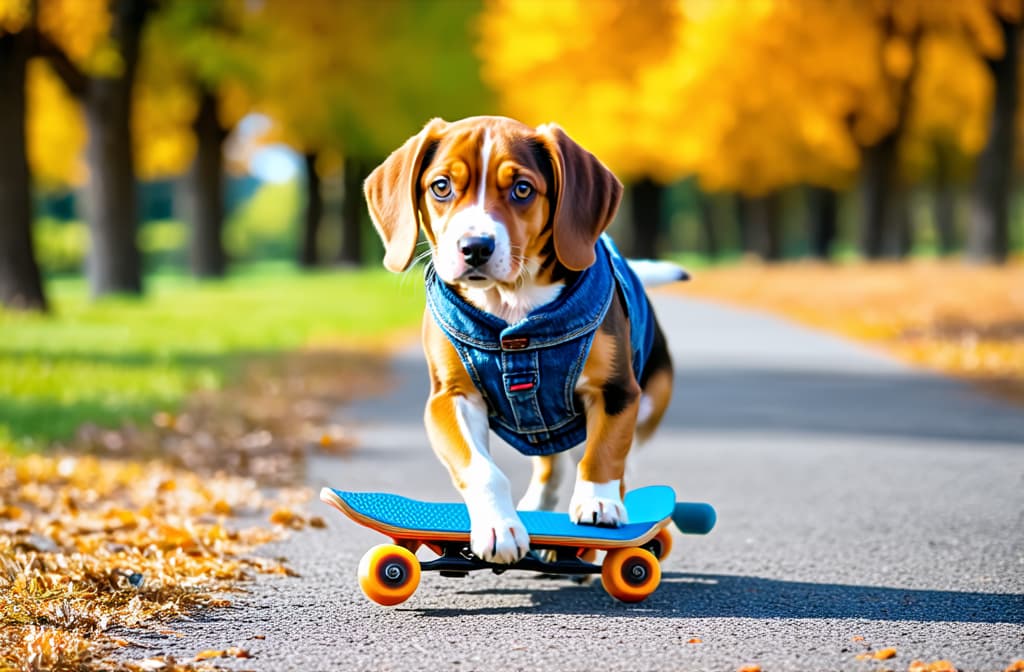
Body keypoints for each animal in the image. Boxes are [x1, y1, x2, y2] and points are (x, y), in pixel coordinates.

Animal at [366, 116, 679, 565]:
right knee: (553, 463)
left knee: (615, 460)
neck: (512, 306)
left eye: (522, 189)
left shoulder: (616, 391)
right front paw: (499, 526)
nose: (475, 247)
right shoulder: (450, 398)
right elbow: (482, 469)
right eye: (441, 186)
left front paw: (598, 505)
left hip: (648, 403)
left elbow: (603, 454)